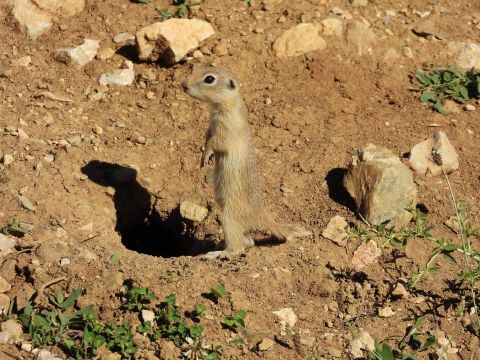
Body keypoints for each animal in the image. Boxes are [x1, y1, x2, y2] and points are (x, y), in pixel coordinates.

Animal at [181, 67, 312, 258]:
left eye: (209, 79)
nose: (183, 84)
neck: (225, 106)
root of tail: (260, 215)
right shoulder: (211, 126)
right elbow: (207, 137)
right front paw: (202, 158)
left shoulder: (226, 130)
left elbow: (215, 143)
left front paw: (207, 155)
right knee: (249, 242)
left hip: (228, 217)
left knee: (239, 248)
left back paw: (218, 254)